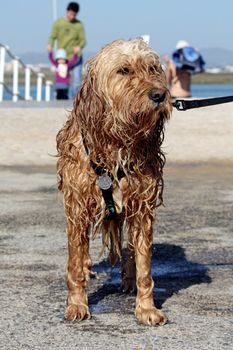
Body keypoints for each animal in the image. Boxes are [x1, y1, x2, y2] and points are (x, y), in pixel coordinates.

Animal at [56, 39, 172, 326]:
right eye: (124, 70)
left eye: (153, 68)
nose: (159, 95)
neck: (117, 142)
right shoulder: (78, 207)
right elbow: (75, 263)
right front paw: (77, 304)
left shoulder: (141, 208)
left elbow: (144, 265)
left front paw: (146, 308)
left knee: (129, 251)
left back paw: (128, 280)